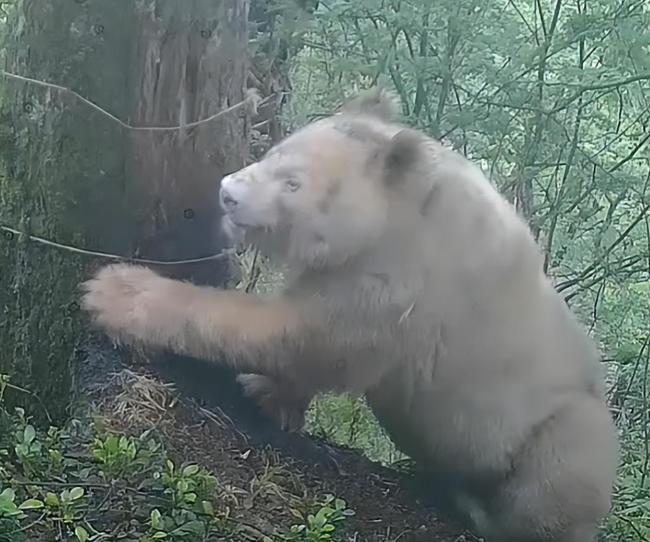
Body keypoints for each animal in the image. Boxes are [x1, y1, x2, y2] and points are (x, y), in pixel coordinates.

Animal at [80, 87, 620, 542]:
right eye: (275, 151)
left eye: (293, 183)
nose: (228, 192)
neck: (412, 205)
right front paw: (273, 396)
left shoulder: (405, 281)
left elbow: (309, 335)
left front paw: (116, 293)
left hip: (560, 426)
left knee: (554, 479)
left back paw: (485, 511)